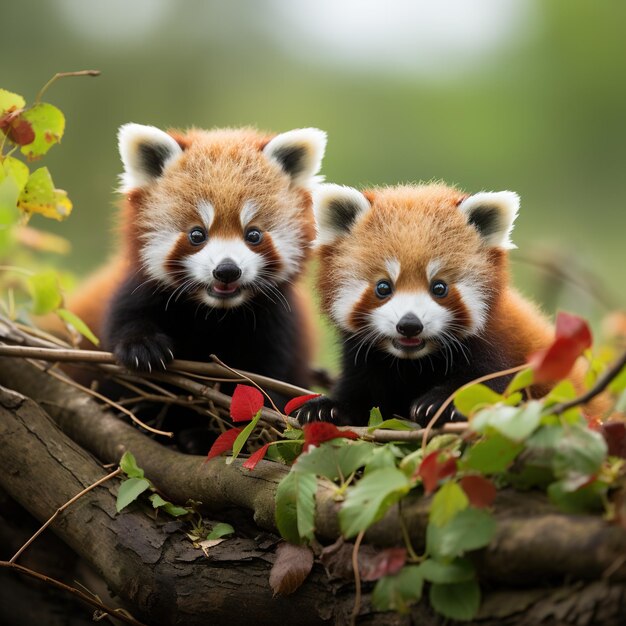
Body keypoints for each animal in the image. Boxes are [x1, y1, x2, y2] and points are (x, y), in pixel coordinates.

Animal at [66, 122, 324, 444]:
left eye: (253, 234)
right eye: (197, 234)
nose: (227, 270)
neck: (212, 314)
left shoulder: (276, 324)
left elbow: (263, 388)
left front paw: (208, 435)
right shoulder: (135, 292)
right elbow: (124, 320)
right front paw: (142, 347)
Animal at [294, 182, 560, 424]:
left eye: (439, 287)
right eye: (383, 287)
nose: (410, 325)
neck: (414, 364)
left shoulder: (500, 351)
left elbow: (486, 385)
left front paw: (441, 402)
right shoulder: (364, 362)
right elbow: (361, 398)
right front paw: (327, 407)